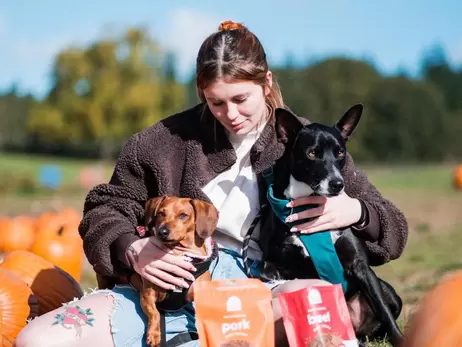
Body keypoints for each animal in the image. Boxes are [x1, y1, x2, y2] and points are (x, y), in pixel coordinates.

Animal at [247, 104, 402, 346]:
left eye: (340, 153)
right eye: (312, 153)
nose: (338, 184)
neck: (310, 205)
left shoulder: (360, 266)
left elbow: (383, 311)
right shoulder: (275, 260)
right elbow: (266, 269)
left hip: (390, 294)